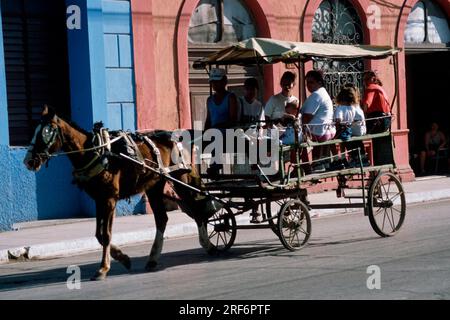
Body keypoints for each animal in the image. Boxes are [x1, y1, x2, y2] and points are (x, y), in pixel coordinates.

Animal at [23, 105, 219, 280]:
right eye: (34, 131)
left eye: (46, 132)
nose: (29, 161)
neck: (95, 152)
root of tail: (175, 137)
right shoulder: (98, 199)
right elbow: (99, 234)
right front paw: (123, 258)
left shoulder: (110, 198)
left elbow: (106, 234)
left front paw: (103, 268)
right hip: (155, 185)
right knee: (162, 219)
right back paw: (153, 259)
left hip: (181, 178)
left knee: (196, 210)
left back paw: (208, 245)